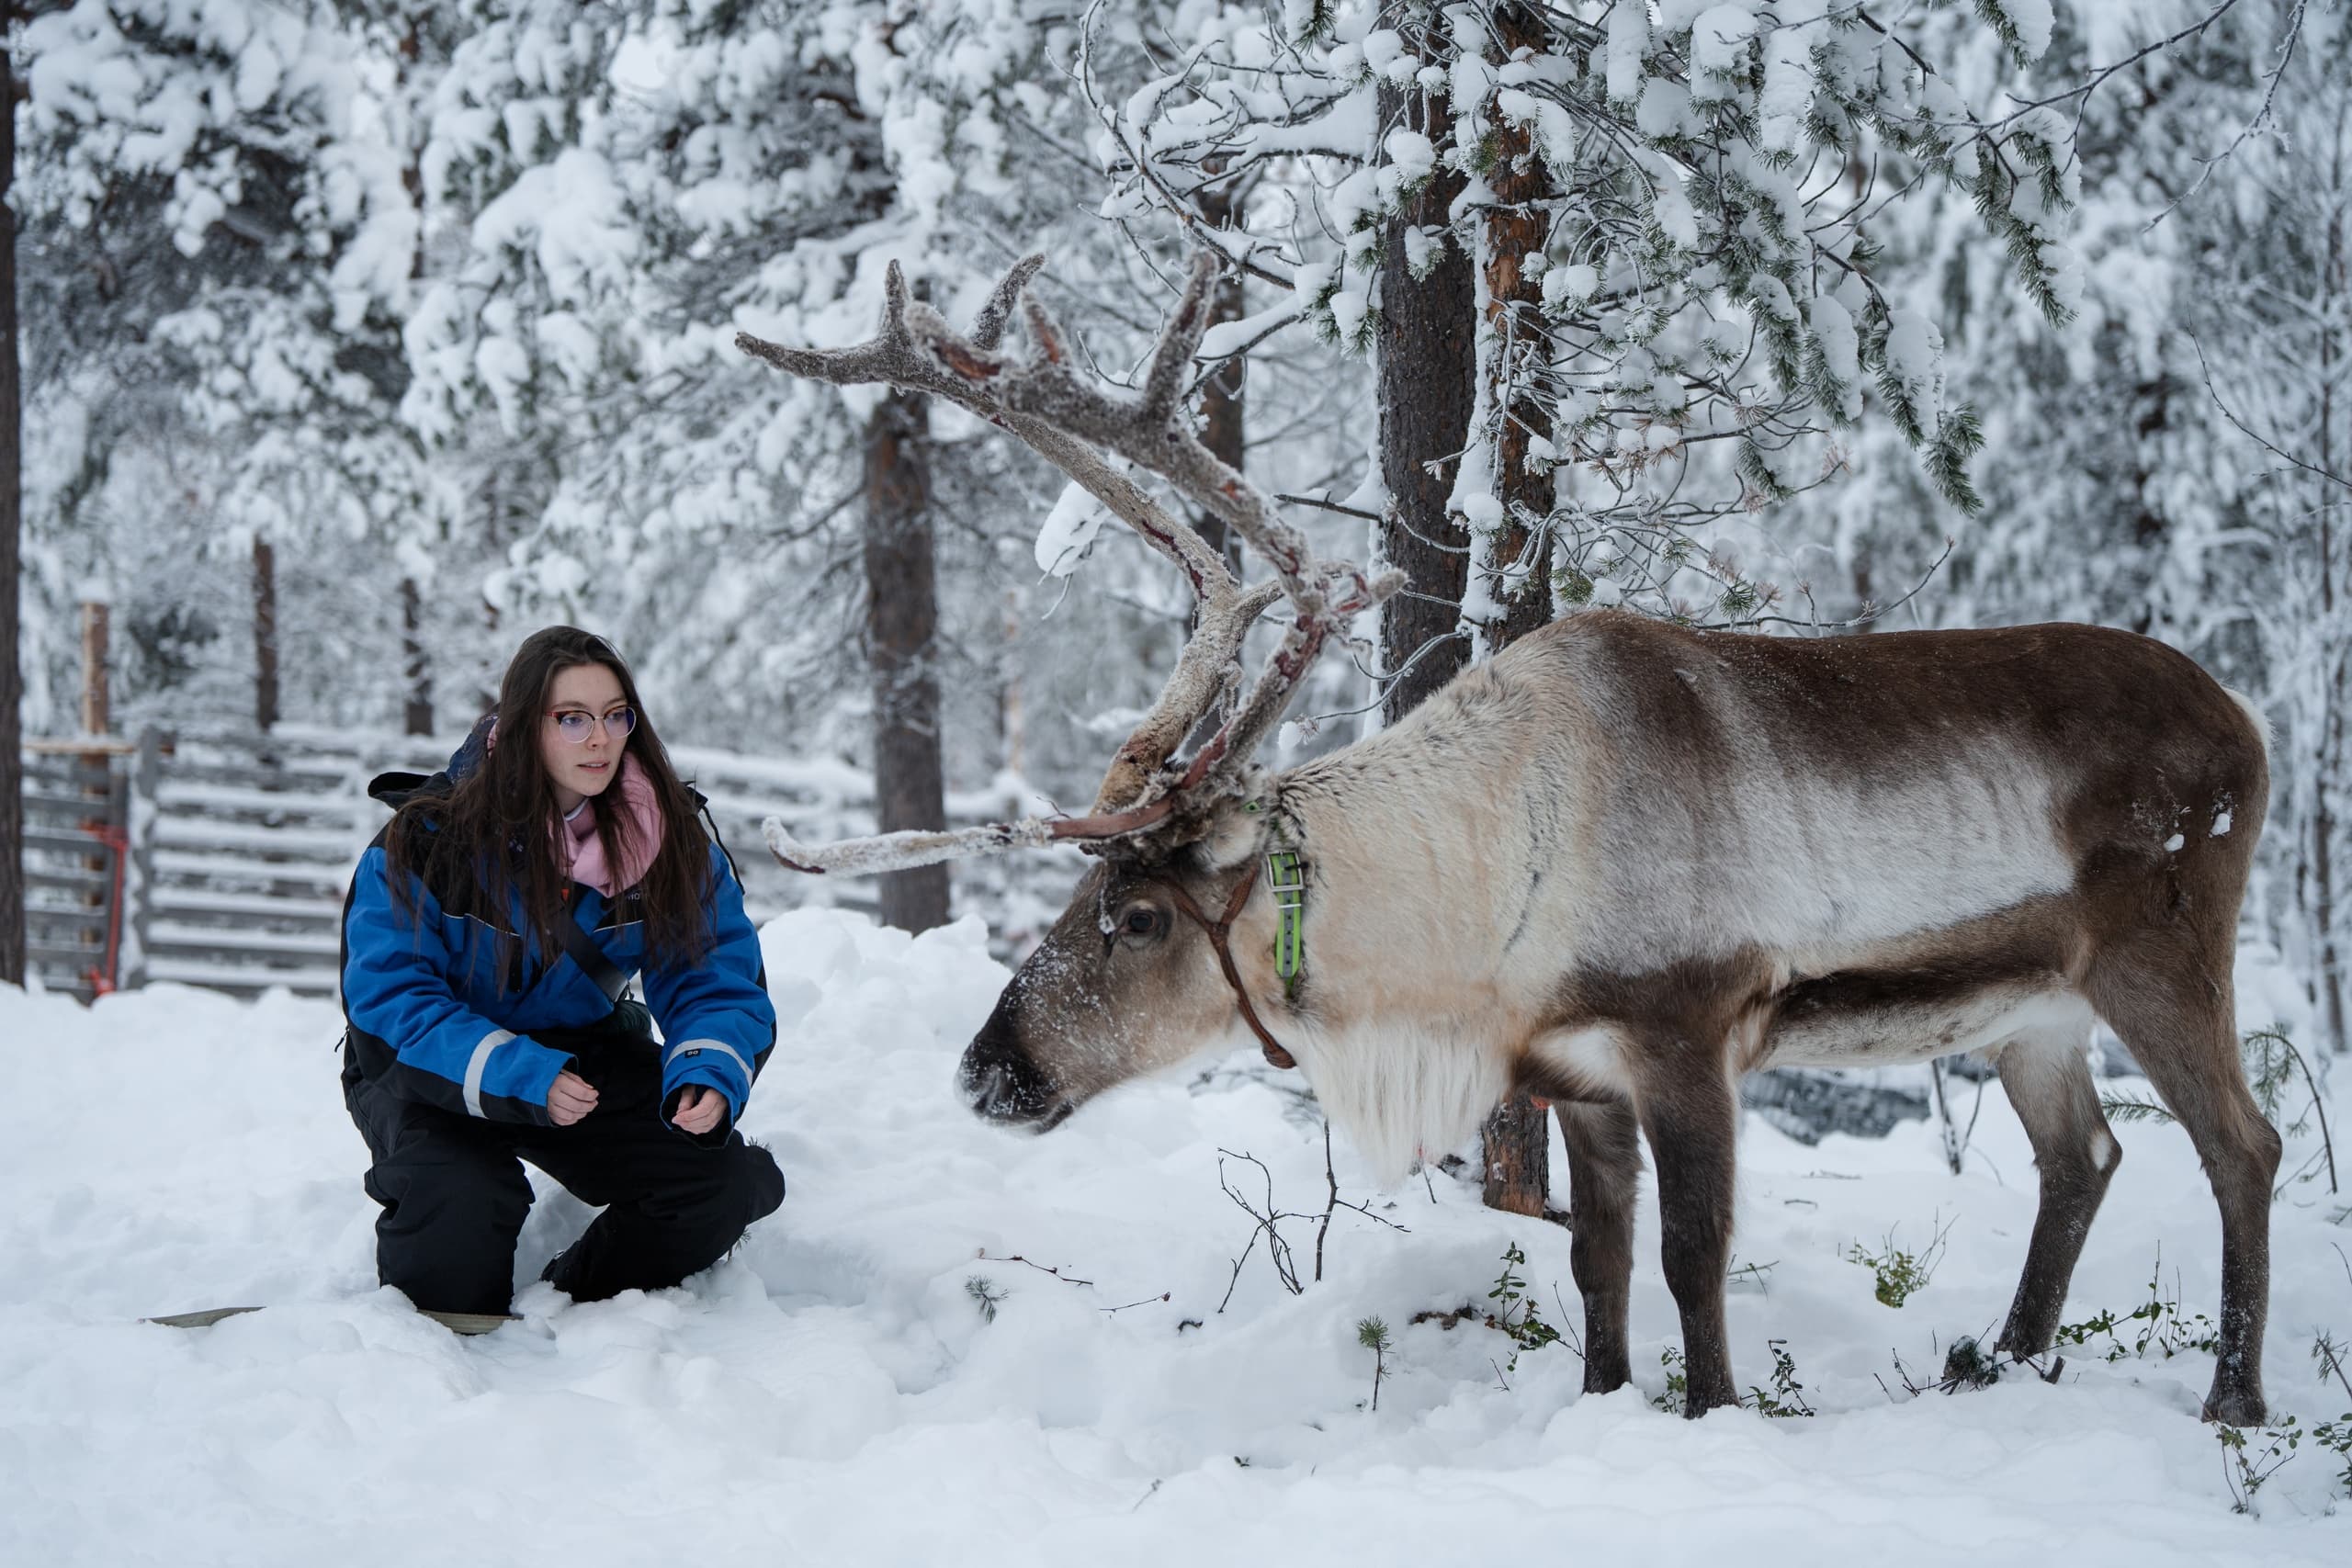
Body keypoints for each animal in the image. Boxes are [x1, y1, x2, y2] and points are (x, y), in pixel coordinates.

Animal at [736, 252, 2281, 1426]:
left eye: (1137, 915)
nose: (988, 1067)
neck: (1475, 908)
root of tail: (2252, 722)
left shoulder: (1688, 1028)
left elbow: (1694, 1256)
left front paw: (1714, 1414)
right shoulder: (1572, 1070)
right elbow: (1598, 1263)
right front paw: (1601, 1406)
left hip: (2164, 952)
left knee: (2242, 1144)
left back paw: (2232, 1399)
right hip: (2033, 1009)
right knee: (2086, 1157)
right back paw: (2004, 1363)